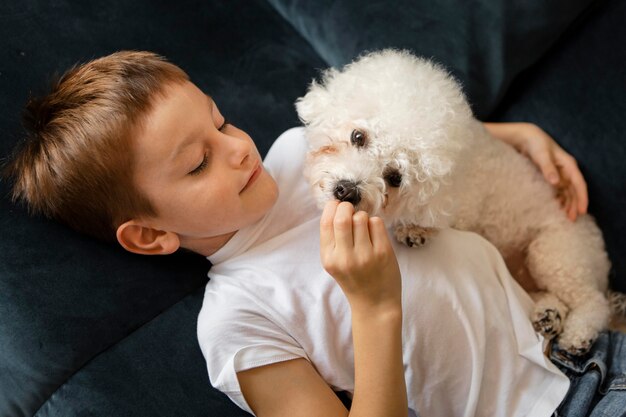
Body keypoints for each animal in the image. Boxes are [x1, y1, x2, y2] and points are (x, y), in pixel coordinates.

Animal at [296, 49, 608, 354]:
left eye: (395, 177)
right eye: (358, 136)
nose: (347, 190)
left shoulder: (460, 210)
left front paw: (416, 229)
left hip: (554, 253)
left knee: (593, 301)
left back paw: (578, 335)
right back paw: (549, 316)